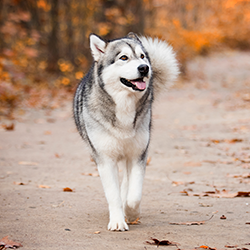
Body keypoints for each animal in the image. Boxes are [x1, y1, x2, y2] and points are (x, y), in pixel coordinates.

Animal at [73, 32, 179, 231]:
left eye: (142, 56)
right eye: (123, 57)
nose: (144, 68)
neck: (124, 105)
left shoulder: (138, 155)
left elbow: (134, 195)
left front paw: (130, 213)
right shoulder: (105, 159)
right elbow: (113, 194)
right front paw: (117, 220)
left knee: (127, 182)